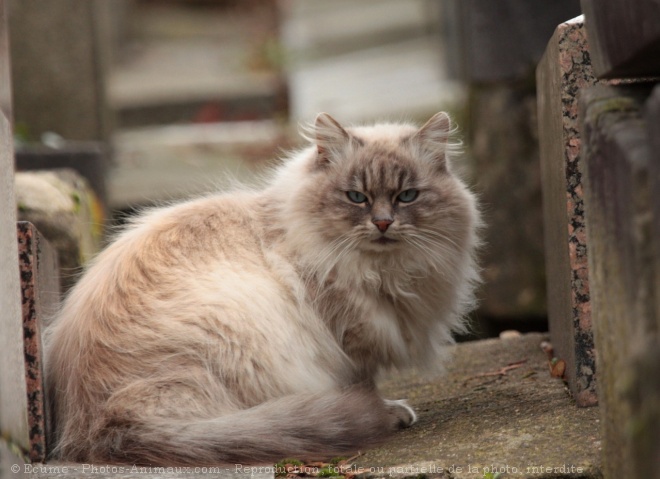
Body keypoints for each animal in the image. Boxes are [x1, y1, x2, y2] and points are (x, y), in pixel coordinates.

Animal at [45, 111, 480, 464]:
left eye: (407, 196)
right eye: (356, 197)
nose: (384, 223)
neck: (382, 271)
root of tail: (95, 428)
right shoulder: (345, 337)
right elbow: (363, 384)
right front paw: (387, 410)